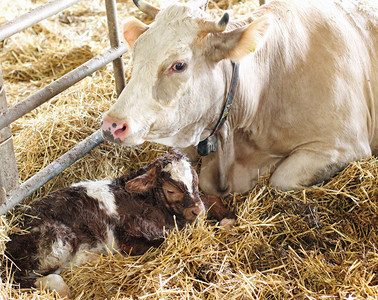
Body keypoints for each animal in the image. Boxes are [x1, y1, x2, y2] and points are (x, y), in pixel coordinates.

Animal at [7, 151, 235, 298]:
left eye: (195, 180)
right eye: (171, 190)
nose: (196, 209)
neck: (148, 201)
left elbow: (211, 198)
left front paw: (228, 218)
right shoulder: (129, 237)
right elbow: (171, 238)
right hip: (57, 240)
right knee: (15, 279)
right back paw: (61, 287)